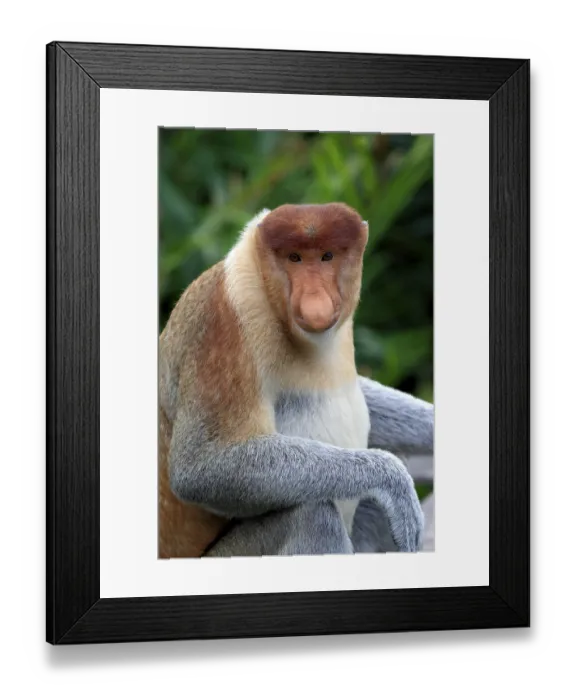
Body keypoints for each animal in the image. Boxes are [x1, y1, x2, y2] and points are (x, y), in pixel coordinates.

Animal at [158, 203, 433, 559]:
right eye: (295, 258)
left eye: (328, 256)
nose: (315, 299)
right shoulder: (223, 326)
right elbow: (199, 469)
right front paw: (393, 480)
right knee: (313, 515)